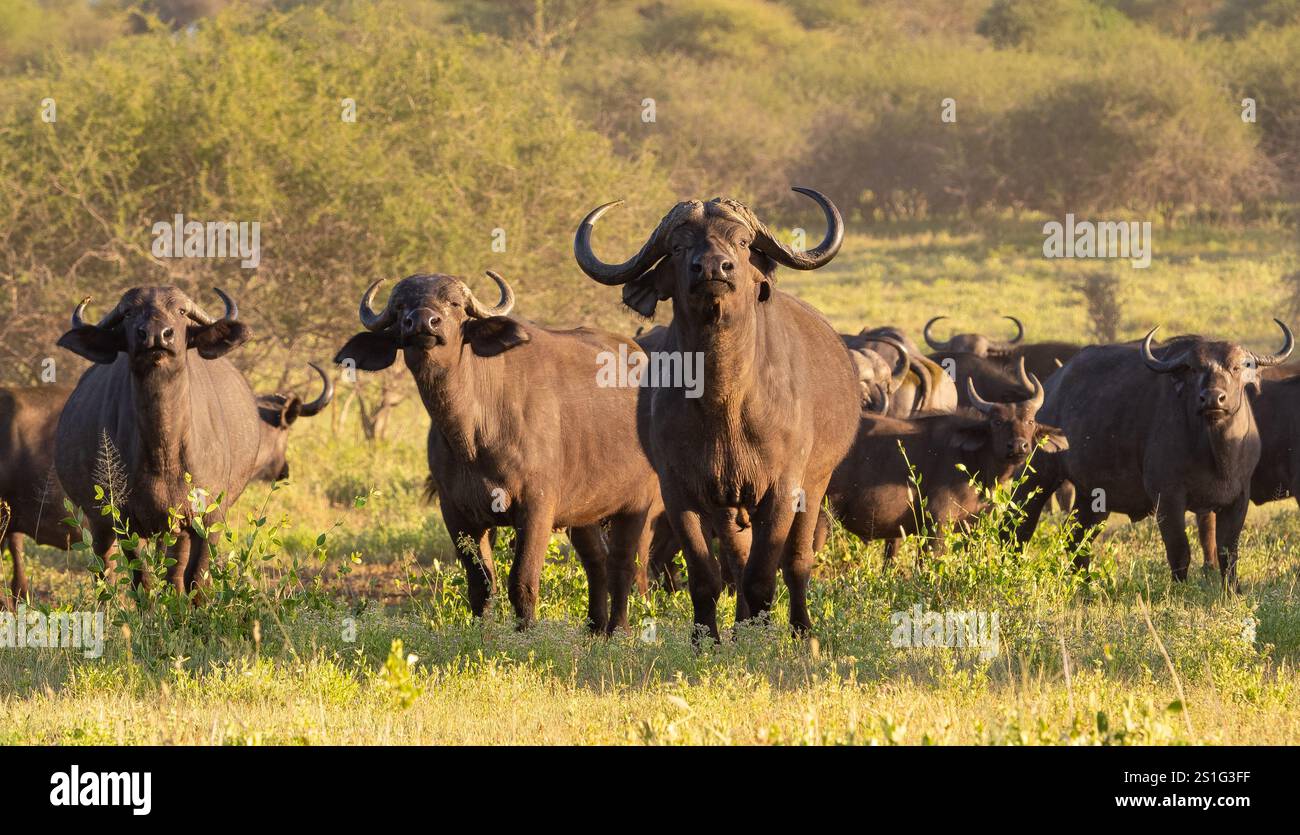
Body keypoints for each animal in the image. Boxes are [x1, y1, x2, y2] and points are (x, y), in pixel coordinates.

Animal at [54, 287, 260, 595]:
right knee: (105, 569)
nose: (155, 335)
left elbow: (196, 577)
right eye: (129, 312)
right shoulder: (124, 520)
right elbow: (142, 579)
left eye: (182, 312)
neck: (164, 452)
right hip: (100, 521)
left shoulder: (209, 518)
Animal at [334, 271, 662, 633]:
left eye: (454, 304)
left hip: (638, 505)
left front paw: (526, 632)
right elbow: (480, 583)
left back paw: (618, 629)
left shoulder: (536, 508)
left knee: (625, 564)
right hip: (583, 513)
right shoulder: (457, 513)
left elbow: (522, 580)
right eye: (400, 307)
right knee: (597, 561)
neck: (472, 434)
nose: (422, 321)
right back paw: (595, 630)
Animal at [574, 187, 860, 640]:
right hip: (730, 507)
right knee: (737, 560)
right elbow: (706, 575)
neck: (724, 402)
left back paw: (803, 631)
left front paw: (762, 636)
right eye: (677, 246)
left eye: (742, 242)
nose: (712, 267)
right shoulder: (679, 491)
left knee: (796, 562)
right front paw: (706, 638)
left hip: (815, 484)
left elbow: (764, 574)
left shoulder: (782, 488)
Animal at [1013, 323, 1294, 585]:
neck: (1215, 452)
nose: (1213, 398)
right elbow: (1180, 551)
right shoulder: (1168, 498)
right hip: (1035, 477)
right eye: (1193, 369)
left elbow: (1228, 553)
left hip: (1093, 496)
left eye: (1236, 367)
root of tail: (1050, 389)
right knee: (1019, 527)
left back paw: (1087, 584)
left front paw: (1232, 590)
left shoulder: (1238, 498)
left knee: (1076, 536)